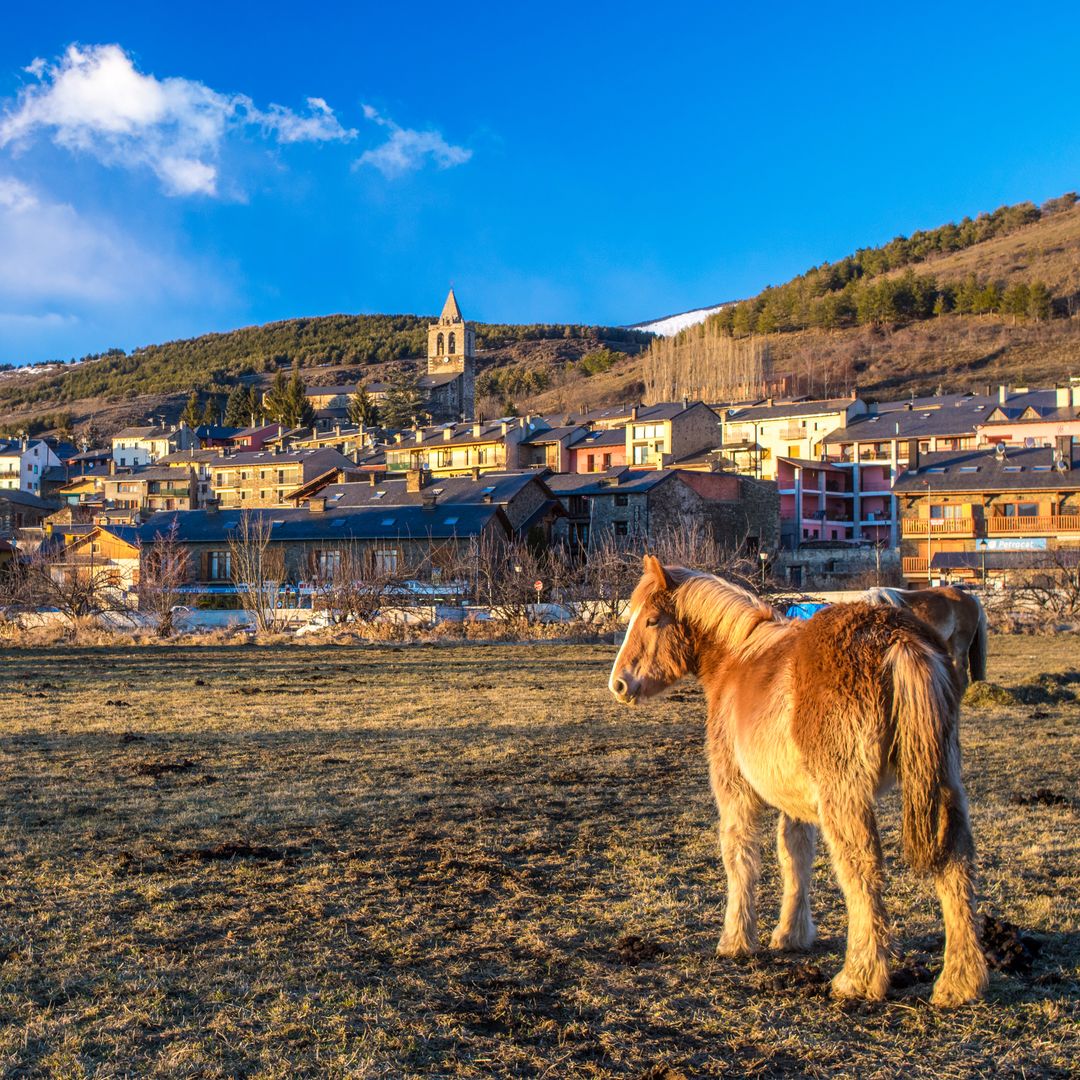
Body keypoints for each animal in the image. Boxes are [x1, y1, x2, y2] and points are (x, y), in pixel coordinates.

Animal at [608, 555, 988, 1007]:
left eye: (651, 620)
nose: (618, 683)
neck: (736, 658)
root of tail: (897, 640)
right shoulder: (797, 802)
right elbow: (795, 857)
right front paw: (792, 934)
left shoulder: (735, 792)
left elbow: (740, 857)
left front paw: (736, 940)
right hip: (943, 780)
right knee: (956, 861)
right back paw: (959, 983)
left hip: (846, 798)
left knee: (862, 868)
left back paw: (859, 977)